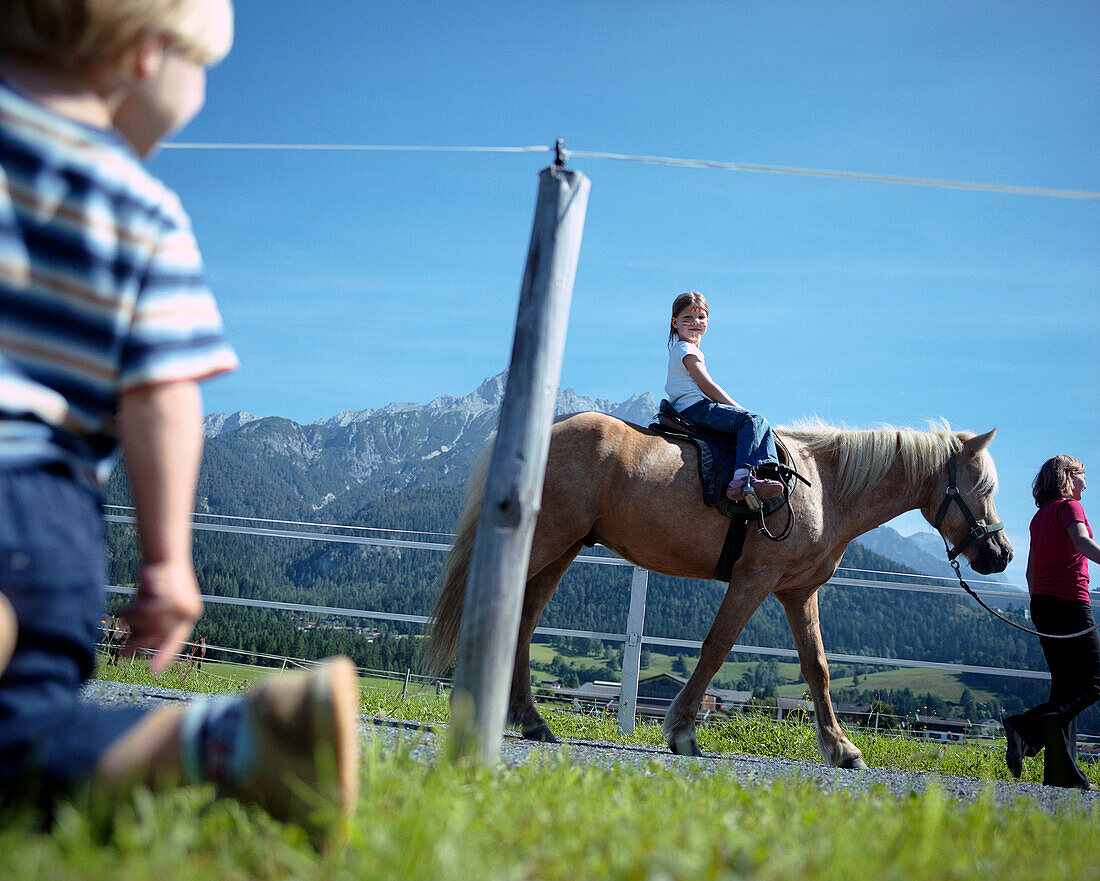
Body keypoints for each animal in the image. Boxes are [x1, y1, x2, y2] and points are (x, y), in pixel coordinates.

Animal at [422, 413, 1012, 761]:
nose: (1001, 554)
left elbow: (817, 668)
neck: (824, 486)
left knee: (523, 621)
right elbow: (716, 647)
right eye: (981, 487)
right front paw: (682, 730)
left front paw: (841, 748)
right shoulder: (755, 579)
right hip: (546, 540)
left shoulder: (798, 592)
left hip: (560, 548)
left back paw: (530, 720)